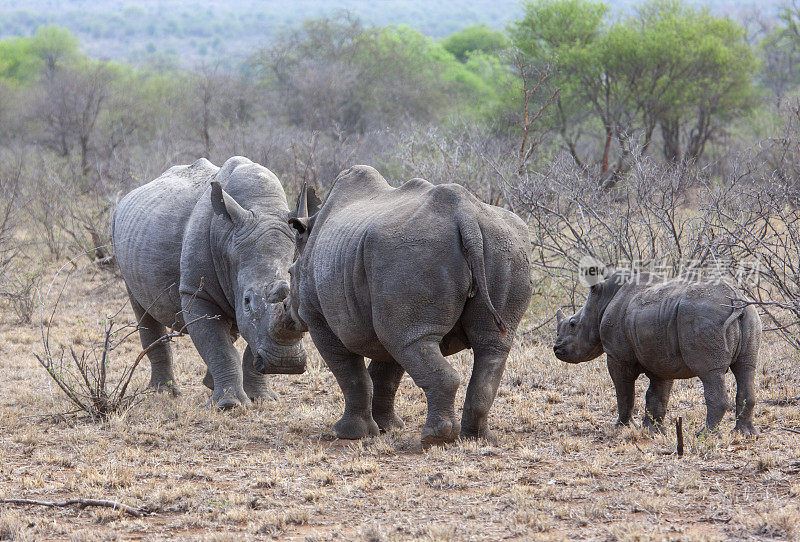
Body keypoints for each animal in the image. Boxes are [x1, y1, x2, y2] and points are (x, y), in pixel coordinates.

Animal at [552, 272, 760, 438]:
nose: (556, 349)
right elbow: (657, 394)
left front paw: (622, 427)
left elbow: (625, 391)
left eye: (573, 324)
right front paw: (653, 430)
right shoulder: (662, 358)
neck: (602, 302)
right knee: (746, 368)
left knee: (710, 373)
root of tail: (736, 299)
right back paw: (745, 433)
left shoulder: (617, 357)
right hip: (750, 314)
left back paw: (705, 435)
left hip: (705, 317)